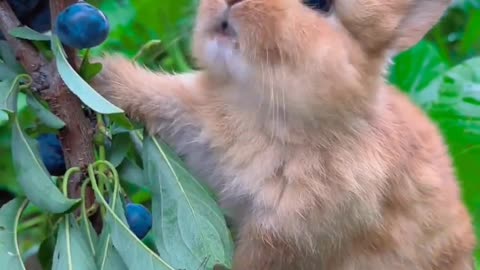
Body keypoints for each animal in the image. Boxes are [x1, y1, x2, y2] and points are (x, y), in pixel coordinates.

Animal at [93, 0, 476, 268]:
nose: (231, 1)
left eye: (318, 4)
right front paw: (100, 76)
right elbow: (155, 94)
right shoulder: (192, 120)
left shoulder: (282, 240)